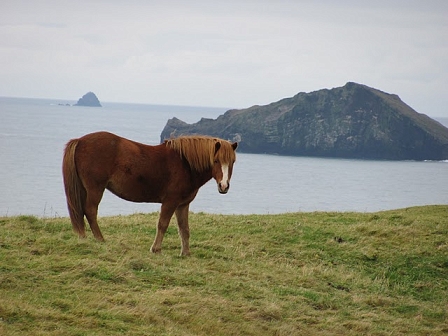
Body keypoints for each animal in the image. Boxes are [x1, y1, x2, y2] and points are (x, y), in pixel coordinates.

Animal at [64, 131, 238, 255]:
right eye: (216, 160)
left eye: (232, 162)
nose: (224, 186)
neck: (185, 164)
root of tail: (80, 141)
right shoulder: (170, 202)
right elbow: (163, 224)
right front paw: (156, 249)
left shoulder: (182, 205)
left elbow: (184, 229)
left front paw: (186, 253)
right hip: (95, 189)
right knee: (90, 211)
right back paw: (100, 239)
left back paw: (84, 238)